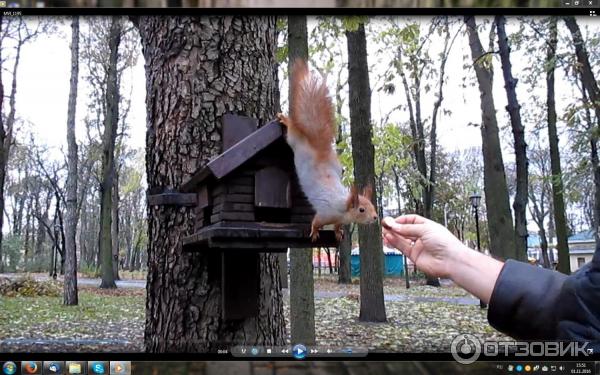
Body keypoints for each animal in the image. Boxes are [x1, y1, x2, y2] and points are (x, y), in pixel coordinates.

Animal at [278, 58, 380, 241]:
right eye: (361, 209)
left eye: (372, 205)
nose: (376, 217)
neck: (343, 207)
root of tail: (318, 146)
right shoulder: (326, 213)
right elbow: (317, 221)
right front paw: (314, 232)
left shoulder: (339, 219)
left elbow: (338, 226)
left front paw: (338, 233)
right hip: (294, 139)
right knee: (291, 131)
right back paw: (285, 119)